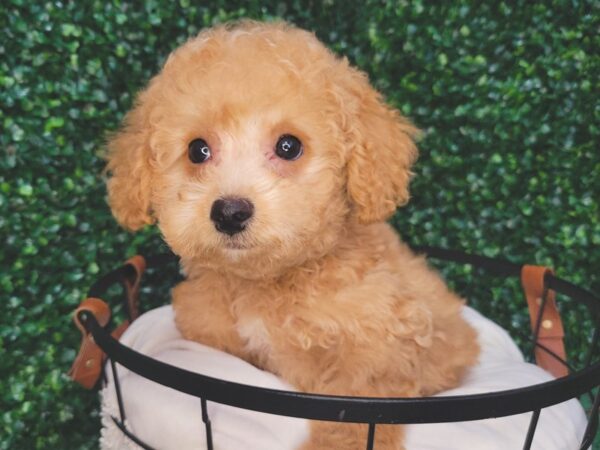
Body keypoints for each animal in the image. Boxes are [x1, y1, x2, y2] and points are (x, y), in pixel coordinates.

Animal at [105, 21, 480, 450]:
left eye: (289, 146)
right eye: (197, 150)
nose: (229, 212)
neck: (270, 281)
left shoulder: (379, 347)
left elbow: (352, 416)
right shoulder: (211, 329)